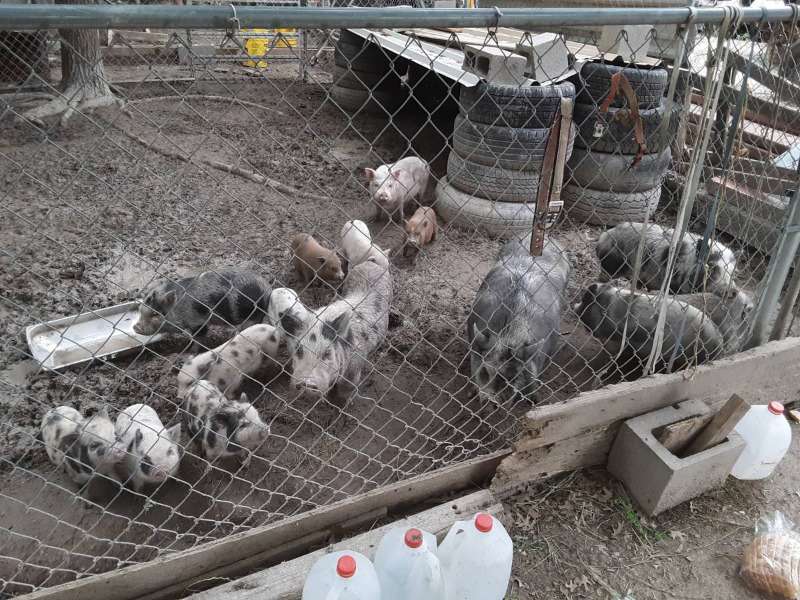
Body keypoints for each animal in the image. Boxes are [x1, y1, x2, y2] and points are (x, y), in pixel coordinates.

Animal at [133, 269, 272, 338]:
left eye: (155, 314)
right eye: (140, 310)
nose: (136, 327)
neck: (179, 308)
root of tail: (266, 288)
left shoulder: (197, 321)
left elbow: (200, 334)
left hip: (251, 313)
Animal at [290, 257, 392, 399]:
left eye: (327, 353)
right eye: (299, 350)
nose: (307, 382)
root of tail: (372, 262)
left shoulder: (355, 367)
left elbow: (347, 388)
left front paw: (343, 400)